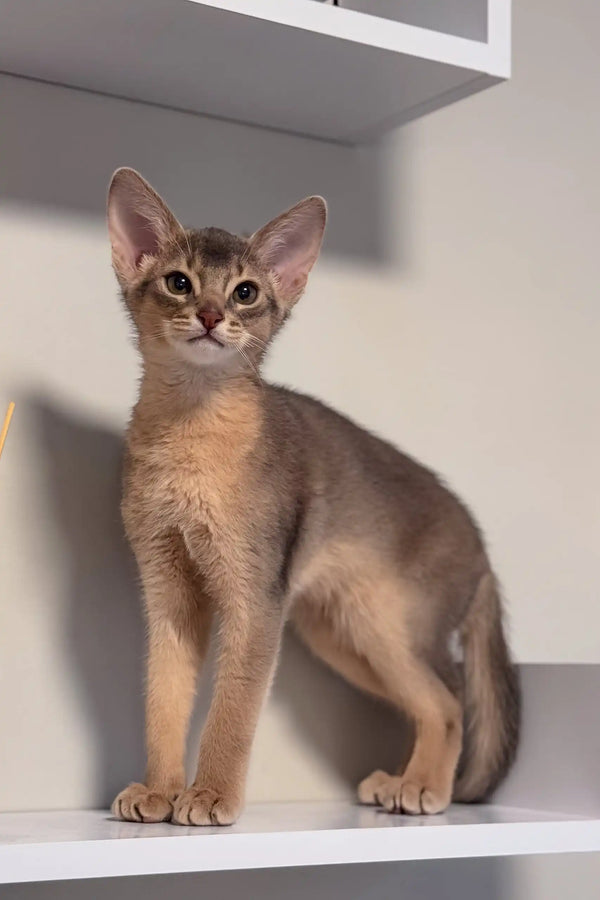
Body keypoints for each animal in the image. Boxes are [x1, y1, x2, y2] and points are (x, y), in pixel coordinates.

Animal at [109, 165, 520, 828]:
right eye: (178, 282)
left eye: (246, 293)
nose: (209, 315)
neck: (191, 440)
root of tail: (481, 546)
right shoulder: (167, 588)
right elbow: (163, 699)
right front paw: (158, 790)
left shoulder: (258, 596)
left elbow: (234, 709)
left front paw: (212, 795)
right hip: (345, 638)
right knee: (432, 704)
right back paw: (402, 782)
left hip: (391, 628)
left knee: (452, 700)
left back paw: (426, 789)